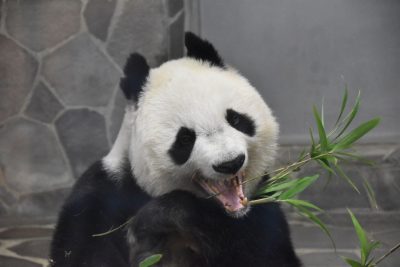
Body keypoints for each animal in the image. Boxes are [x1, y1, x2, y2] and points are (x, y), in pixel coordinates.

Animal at [50, 32, 300, 266]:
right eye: (185, 139)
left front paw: (156, 216)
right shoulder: (100, 199)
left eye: (236, 119)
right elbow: (84, 253)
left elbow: (265, 255)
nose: (230, 163)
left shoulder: (262, 207)